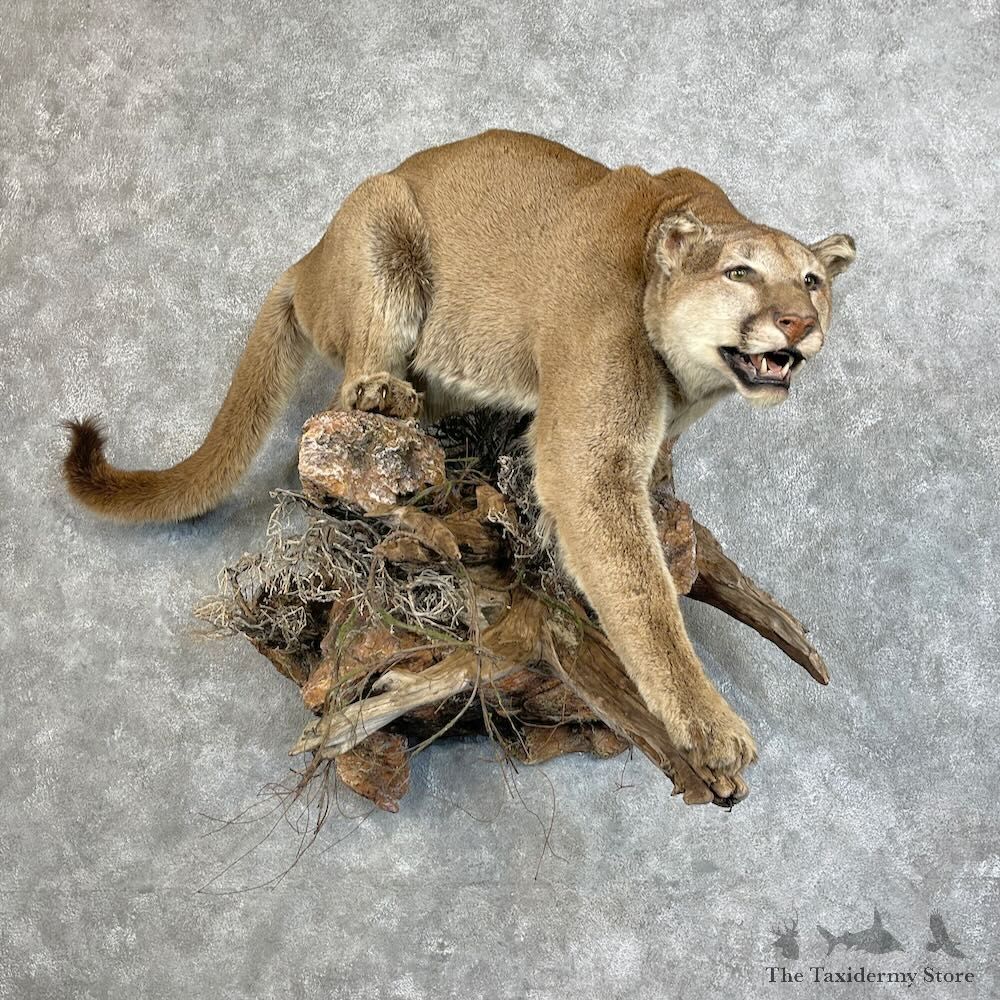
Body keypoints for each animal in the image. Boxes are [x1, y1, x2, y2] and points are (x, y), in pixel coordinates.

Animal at [63, 129, 856, 799]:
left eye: (812, 280)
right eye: (739, 271)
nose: (797, 322)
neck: (688, 378)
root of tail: (307, 259)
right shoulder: (590, 464)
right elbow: (643, 594)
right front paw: (708, 725)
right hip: (381, 221)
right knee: (346, 394)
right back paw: (383, 392)